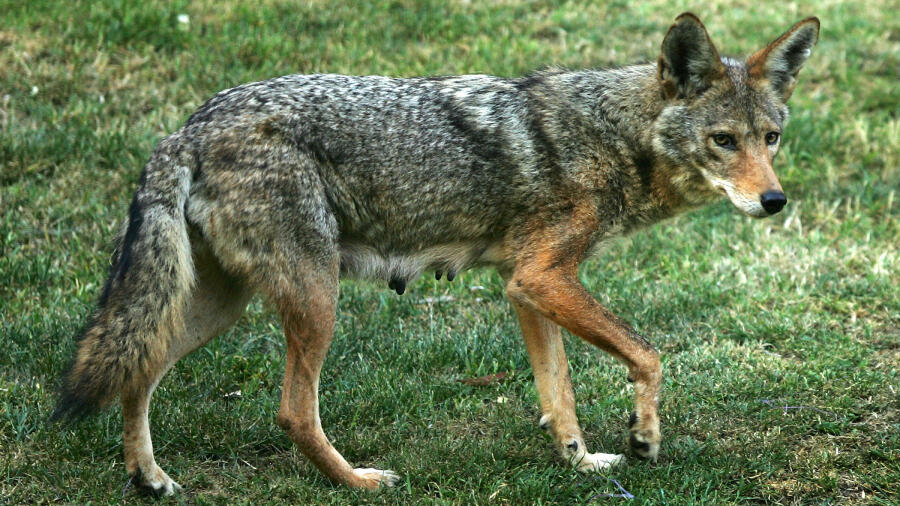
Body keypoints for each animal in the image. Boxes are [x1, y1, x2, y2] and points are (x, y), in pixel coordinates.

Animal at [52, 13, 819, 495]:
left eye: (771, 138)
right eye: (723, 141)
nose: (775, 201)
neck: (613, 135)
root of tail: (187, 127)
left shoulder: (524, 286)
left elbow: (559, 392)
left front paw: (579, 464)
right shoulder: (543, 277)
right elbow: (648, 354)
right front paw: (643, 439)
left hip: (221, 307)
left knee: (139, 368)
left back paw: (149, 479)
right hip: (315, 301)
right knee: (293, 412)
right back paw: (360, 482)